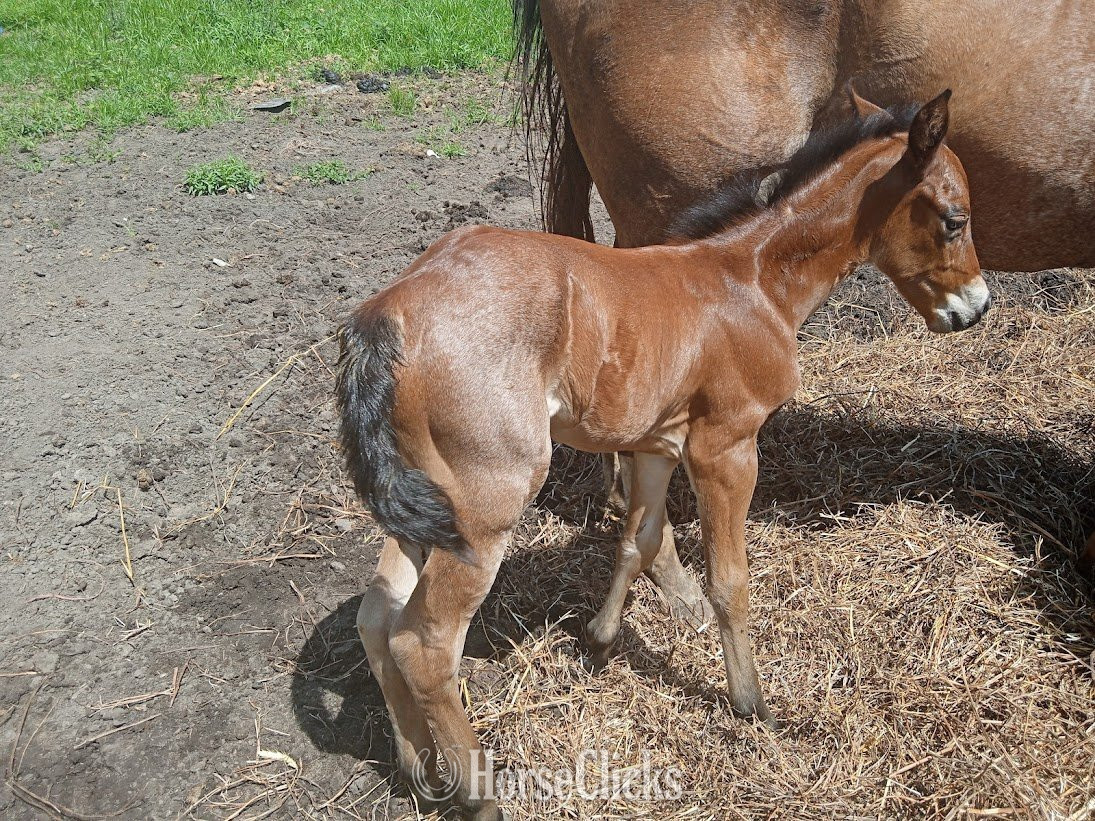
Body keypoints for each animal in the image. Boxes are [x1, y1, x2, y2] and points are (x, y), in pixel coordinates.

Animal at [337, 91, 988, 819]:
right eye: (955, 219)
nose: (974, 308)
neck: (751, 280)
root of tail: (386, 313)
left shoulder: (655, 444)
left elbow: (638, 537)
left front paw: (599, 637)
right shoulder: (725, 448)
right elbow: (729, 580)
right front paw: (749, 701)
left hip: (426, 502)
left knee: (377, 614)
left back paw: (417, 768)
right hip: (483, 503)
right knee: (422, 641)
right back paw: (476, 790)